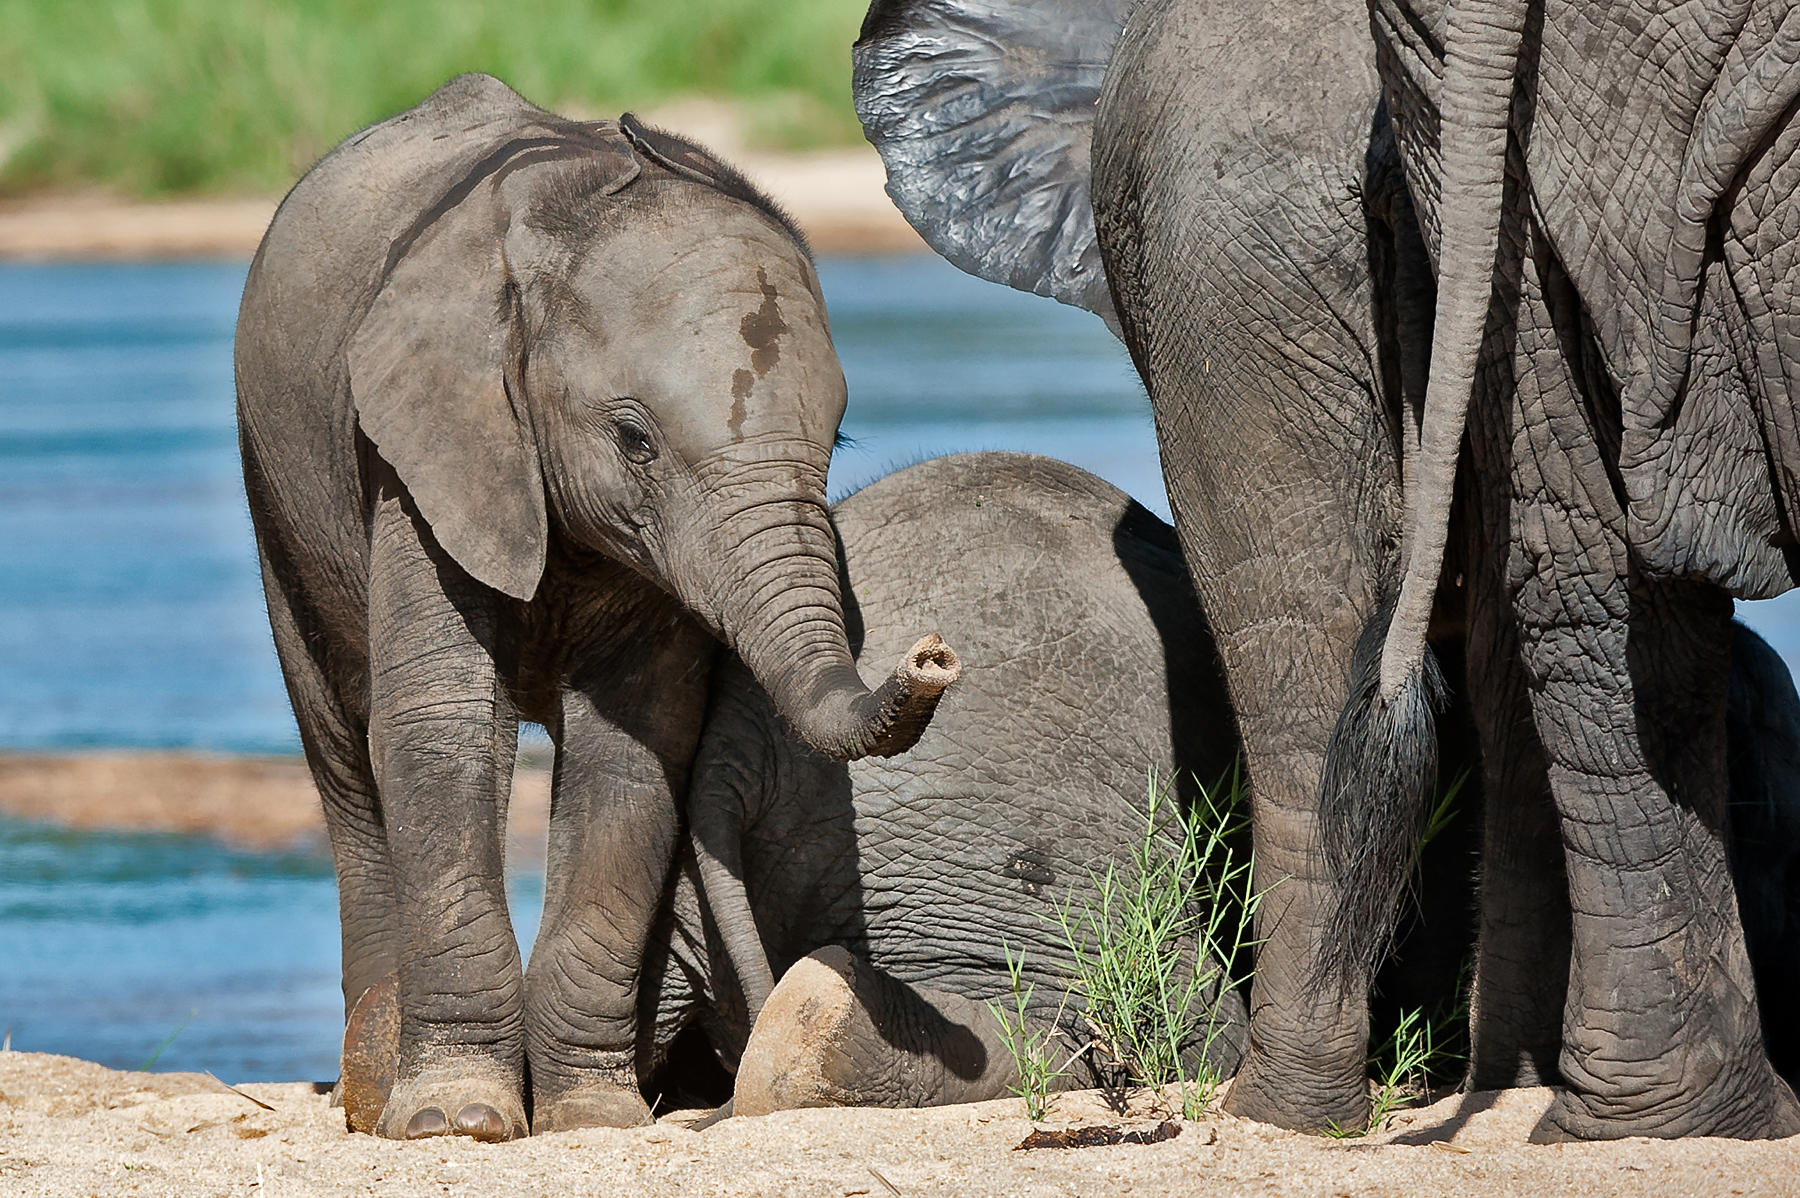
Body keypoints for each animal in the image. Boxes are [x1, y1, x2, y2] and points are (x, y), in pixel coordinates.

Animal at [235, 73, 960, 1142]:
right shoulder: (424, 446)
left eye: (835, 440)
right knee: (340, 744)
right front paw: (458, 1121)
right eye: (634, 440)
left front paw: (593, 1120)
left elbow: (636, 748)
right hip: (278, 490)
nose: (931, 656)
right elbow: (441, 725)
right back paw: (372, 1092)